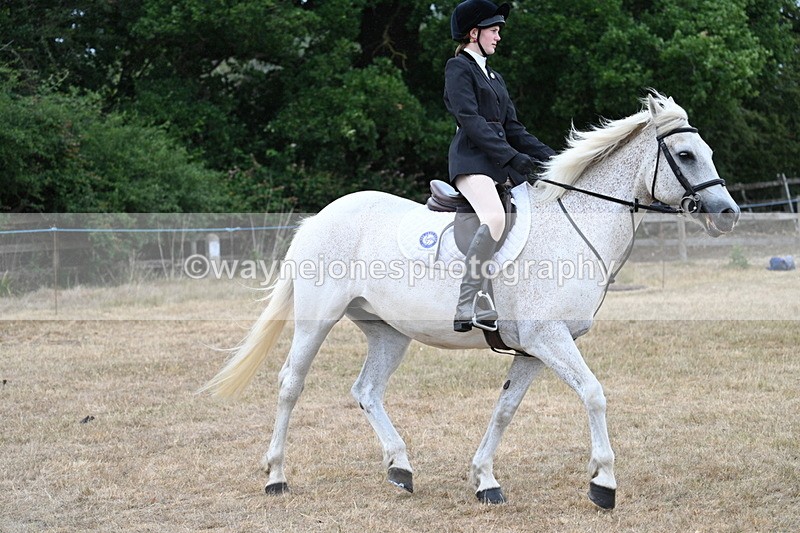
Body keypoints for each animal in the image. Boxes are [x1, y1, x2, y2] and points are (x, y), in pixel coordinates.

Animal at [200, 92, 740, 509]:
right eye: (686, 155)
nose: (728, 213)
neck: (572, 226)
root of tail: (321, 217)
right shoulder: (549, 338)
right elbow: (593, 393)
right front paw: (603, 484)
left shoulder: (532, 349)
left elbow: (505, 409)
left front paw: (485, 481)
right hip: (317, 319)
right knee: (291, 385)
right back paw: (276, 477)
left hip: (387, 331)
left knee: (367, 390)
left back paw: (400, 469)